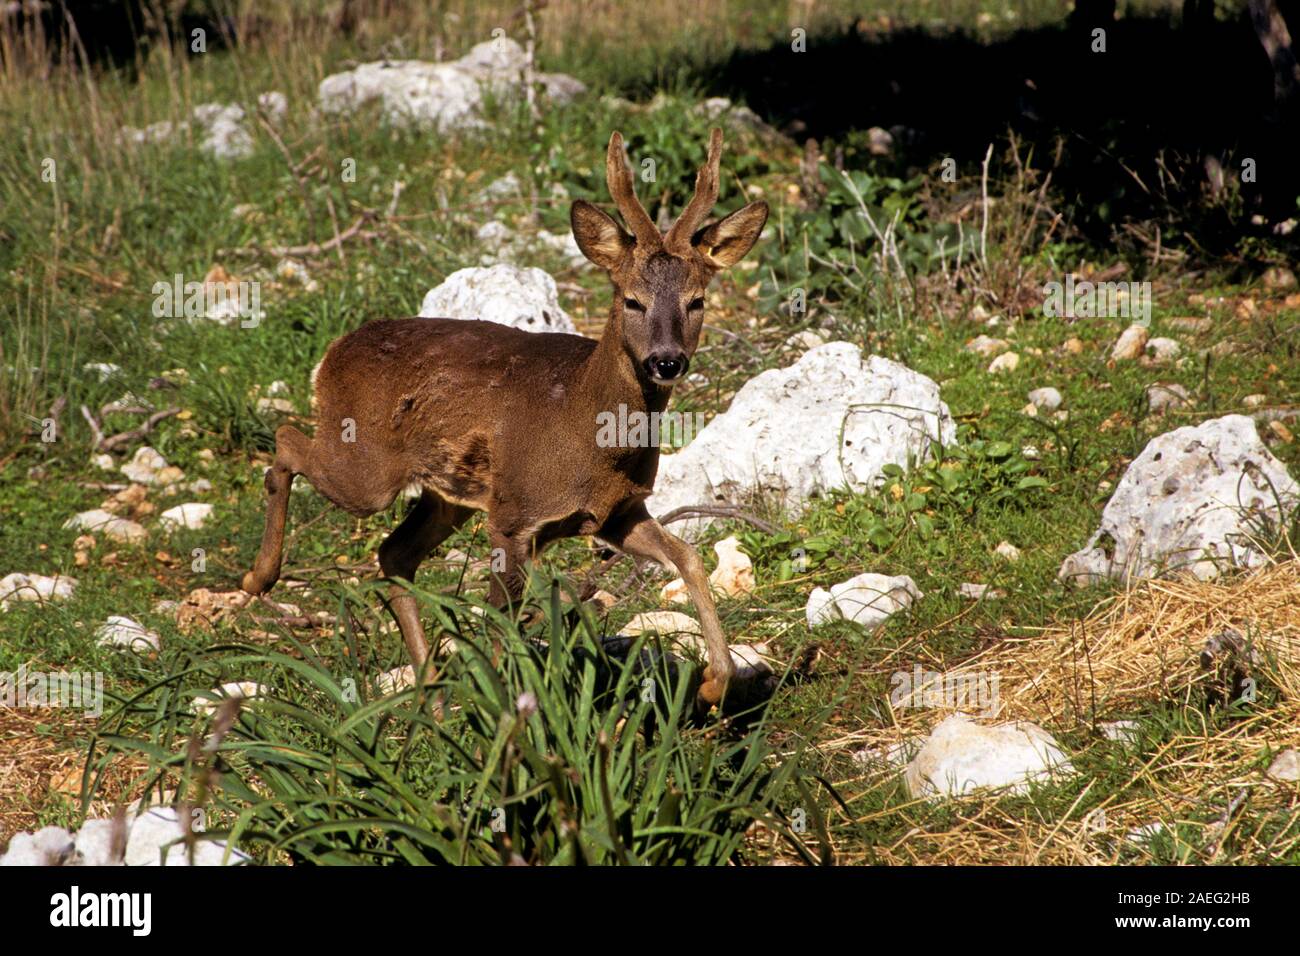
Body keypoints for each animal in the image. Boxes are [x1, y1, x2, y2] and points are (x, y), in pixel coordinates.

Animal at [243, 128, 764, 712]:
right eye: (632, 300)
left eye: (697, 302)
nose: (666, 360)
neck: (589, 433)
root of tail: (333, 353)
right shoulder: (514, 516)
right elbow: (500, 619)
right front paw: (498, 711)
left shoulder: (617, 512)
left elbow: (688, 557)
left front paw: (715, 682)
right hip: (365, 470)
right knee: (287, 440)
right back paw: (258, 578)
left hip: (445, 496)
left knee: (393, 550)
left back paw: (430, 691)